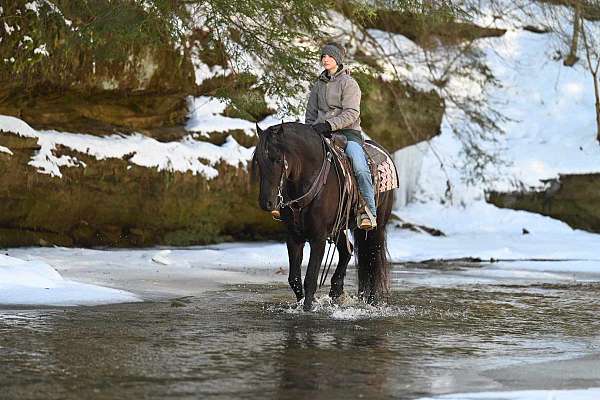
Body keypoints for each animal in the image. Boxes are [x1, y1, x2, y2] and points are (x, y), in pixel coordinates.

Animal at [250, 122, 394, 312]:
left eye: (278, 159)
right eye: (258, 161)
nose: (266, 202)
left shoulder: (318, 238)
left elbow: (310, 279)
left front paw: (308, 308)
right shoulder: (294, 237)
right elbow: (294, 279)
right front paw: (304, 304)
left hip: (377, 227)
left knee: (373, 259)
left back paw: (371, 301)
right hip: (338, 227)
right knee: (346, 252)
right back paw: (336, 291)